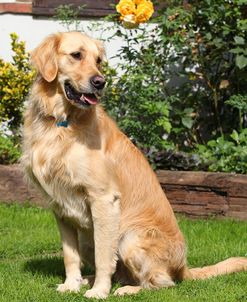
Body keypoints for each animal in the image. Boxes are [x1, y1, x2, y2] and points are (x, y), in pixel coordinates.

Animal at [22, 31, 246, 298]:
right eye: (76, 55)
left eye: (98, 60)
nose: (100, 82)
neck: (60, 122)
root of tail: (183, 268)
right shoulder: (60, 206)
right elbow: (69, 255)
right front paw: (71, 284)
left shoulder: (103, 199)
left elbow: (104, 257)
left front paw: (99, 292)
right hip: (89, 237)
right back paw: (89, 280)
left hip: (129, 237)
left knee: (160, 283)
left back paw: (127, 289)